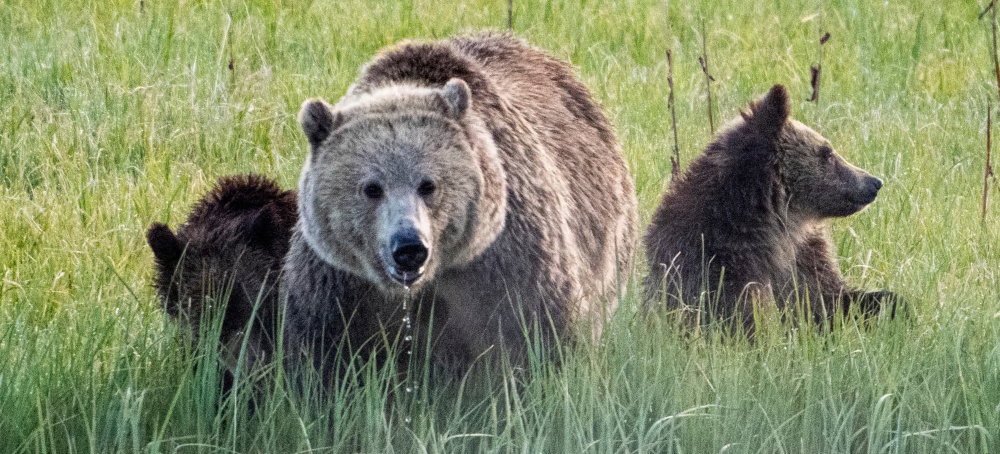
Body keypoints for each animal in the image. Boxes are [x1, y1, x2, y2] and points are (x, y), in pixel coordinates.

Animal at [282, 32, 638, 376]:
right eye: (371, 188)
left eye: (428, 184)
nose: (409, 247)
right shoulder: (340, 282)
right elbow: (325, 352)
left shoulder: (507, 260)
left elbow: (538, 334)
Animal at [643, 84, 902, 329]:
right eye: (827, 152)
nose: (874, 182)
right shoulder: (716, 267)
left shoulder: (803, 259)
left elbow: (833, 300)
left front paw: (894, 306)